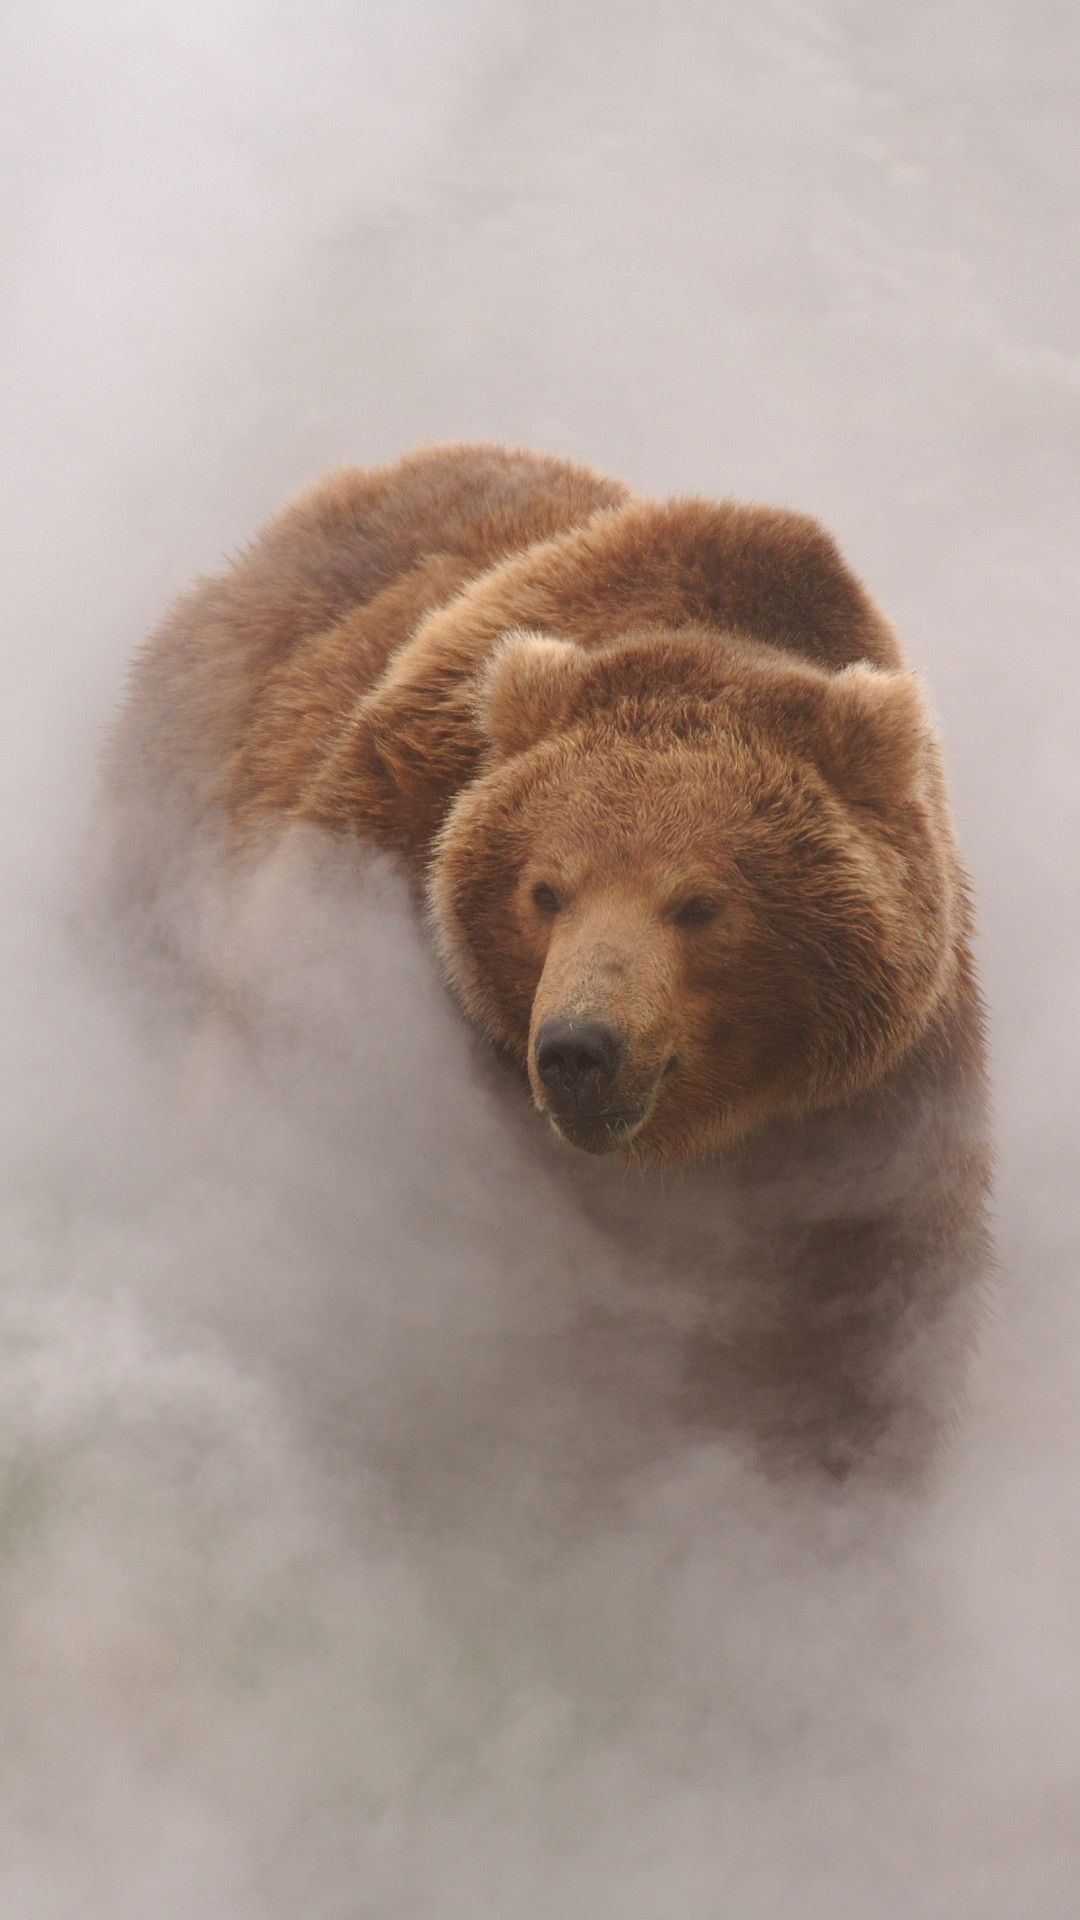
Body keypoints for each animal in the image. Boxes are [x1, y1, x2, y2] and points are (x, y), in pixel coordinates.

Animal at [100, 441, 992, 1476]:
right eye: (546, 889)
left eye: (699, 902)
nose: (578, 1049)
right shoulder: (374, 928)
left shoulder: (870, 1124)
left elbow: (848, 1359)